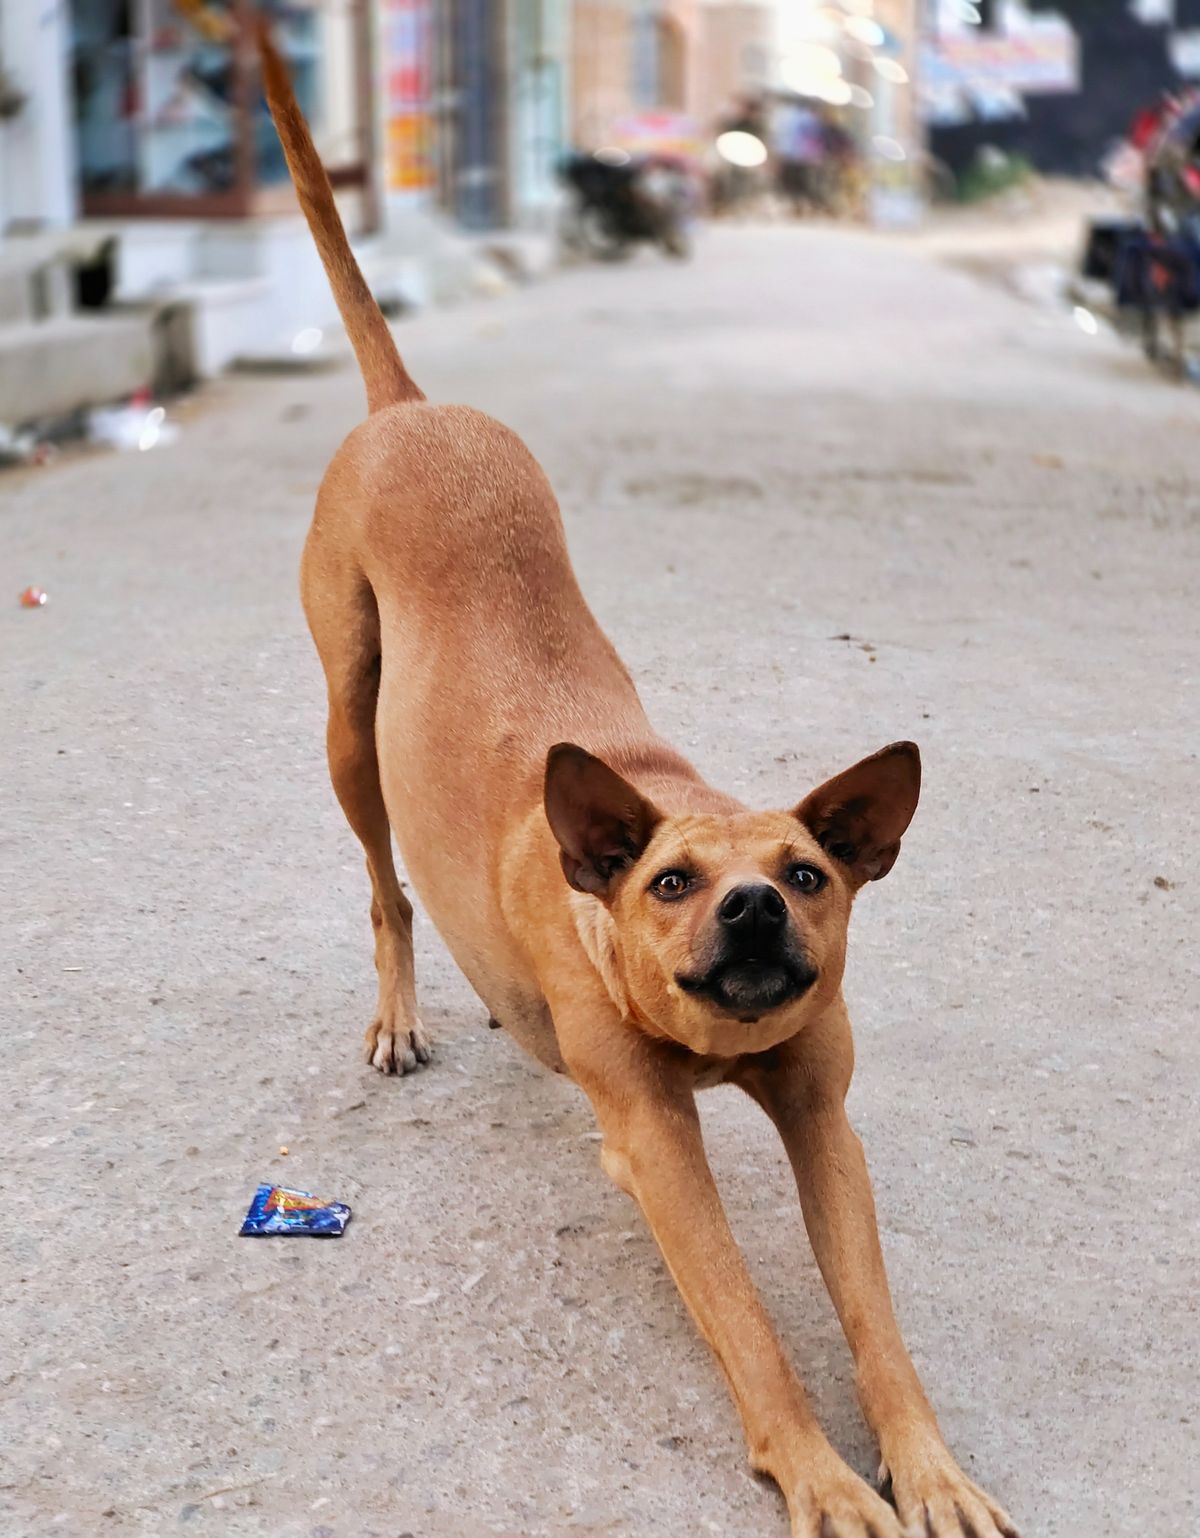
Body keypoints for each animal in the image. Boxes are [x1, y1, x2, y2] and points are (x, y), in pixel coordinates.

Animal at [260, 33, 1015, 1538]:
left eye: (807, 873)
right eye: (672, 881)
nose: (752, 914)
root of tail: (409, 405)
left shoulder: (824, 1120)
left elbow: (875, 1320)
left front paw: (928, 1463)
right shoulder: (661, 1145)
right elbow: (752, 1323)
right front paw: (825, 1476)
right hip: (346, 726)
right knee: (383, 882)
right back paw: (401, 1011)